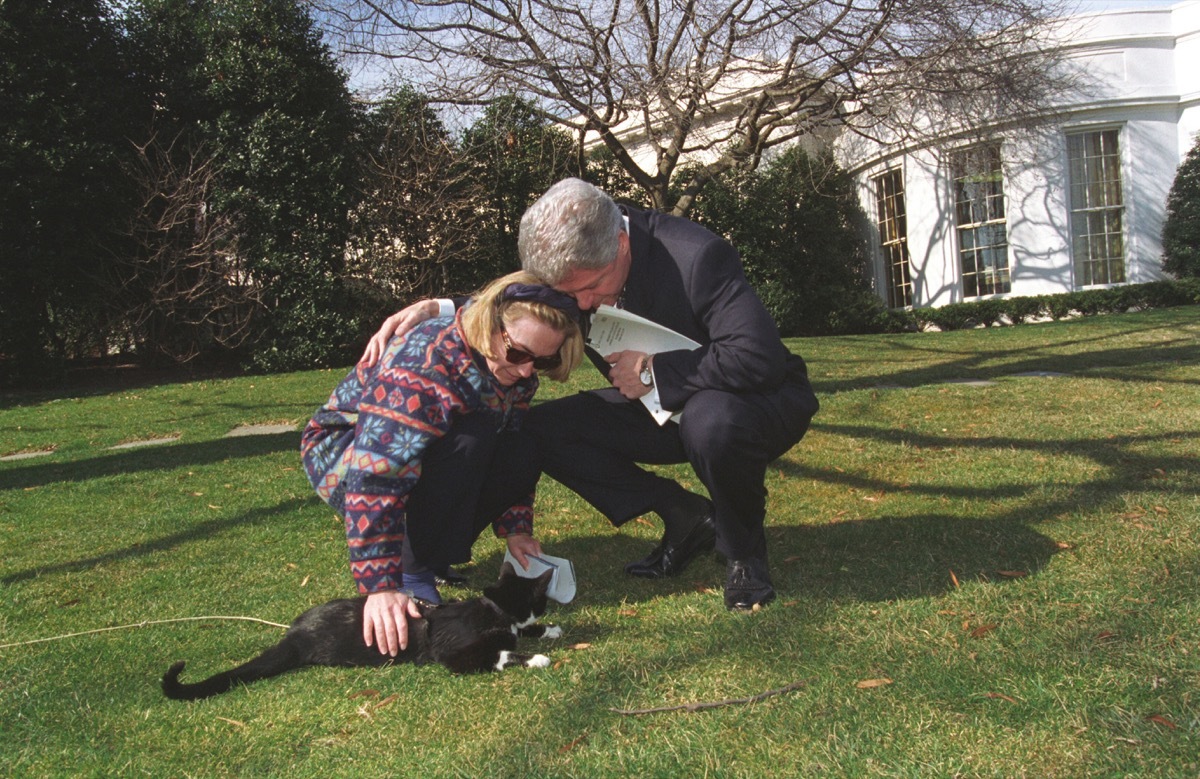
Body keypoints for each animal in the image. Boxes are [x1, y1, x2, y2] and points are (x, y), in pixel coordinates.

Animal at [160, 559, 566, 700]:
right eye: (541, 599)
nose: (547, 613)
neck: (495, 611)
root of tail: (293, 635)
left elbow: (520, 633)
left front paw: (551, 631)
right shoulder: (455, 656)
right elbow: (502, 653)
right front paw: (538, 658)